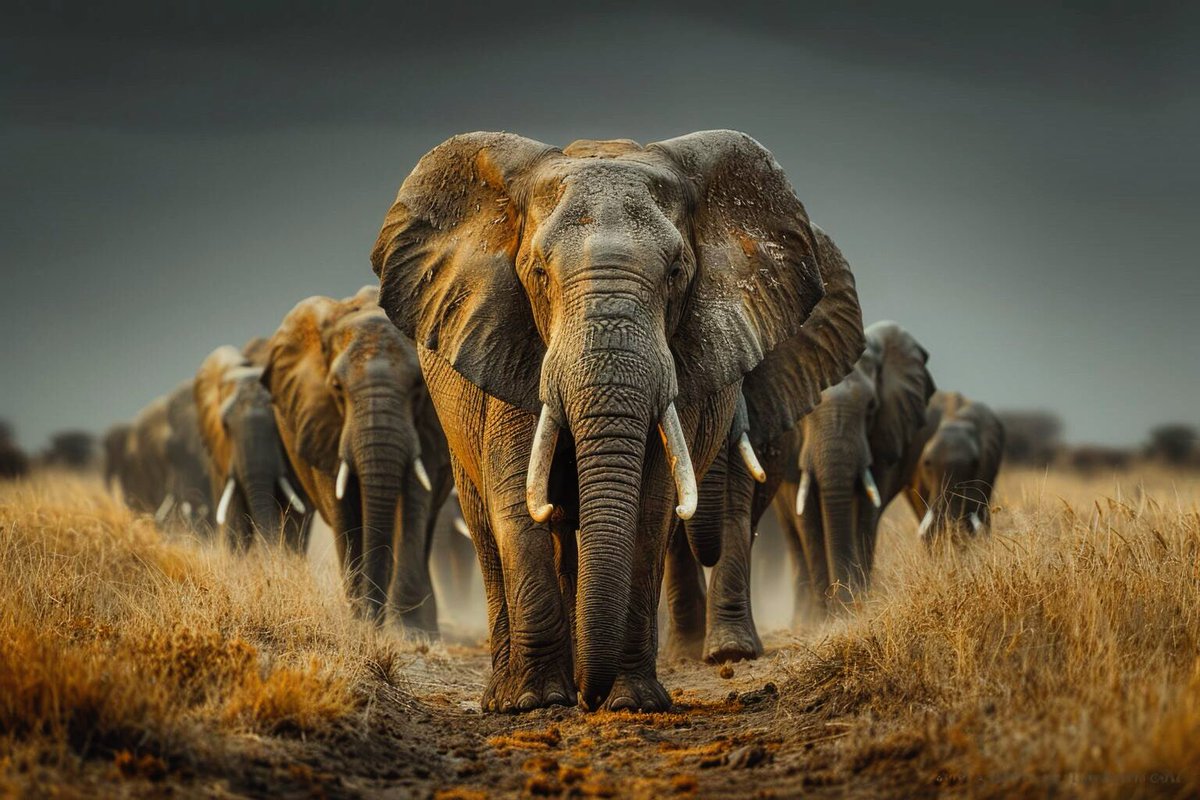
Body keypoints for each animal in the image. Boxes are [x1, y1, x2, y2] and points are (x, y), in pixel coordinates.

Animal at [261, 286, 452, 632]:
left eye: (418, 387)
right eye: (337, 388)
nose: (373, 619)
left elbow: (414, 502)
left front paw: (408, 632)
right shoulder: (321, 419)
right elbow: (343, 507)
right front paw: (360, 622)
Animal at [370, 130, 864, 712]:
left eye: (676, 273)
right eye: (538, 273)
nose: (589, 695)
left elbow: (651, 511)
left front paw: (633, 702)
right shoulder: (508, 342)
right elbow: (517, 503)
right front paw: (538, 702)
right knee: (490, 528)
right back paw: (511, 695)